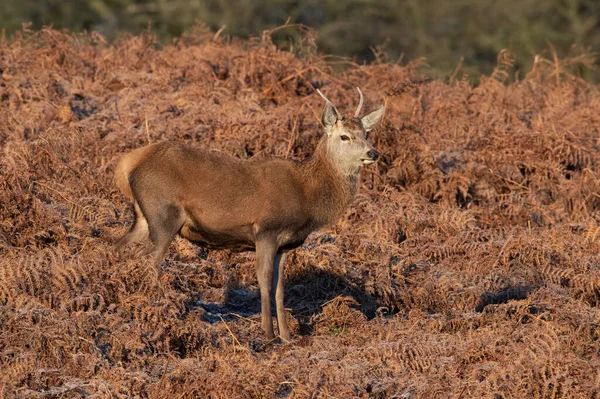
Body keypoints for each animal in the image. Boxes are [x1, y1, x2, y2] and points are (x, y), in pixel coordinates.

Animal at [112, 88, 384, 340]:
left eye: (367, 134)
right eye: (344, 136)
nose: (373, 153)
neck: (307, 196)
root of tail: (128, 163)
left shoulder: (286, 245)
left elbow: (279, 287)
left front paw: (287, 336)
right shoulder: (266, 230)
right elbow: (263, 279)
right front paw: (268, 333)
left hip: (143, 218)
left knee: (118, 248)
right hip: (163, 214)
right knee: (149, 262)